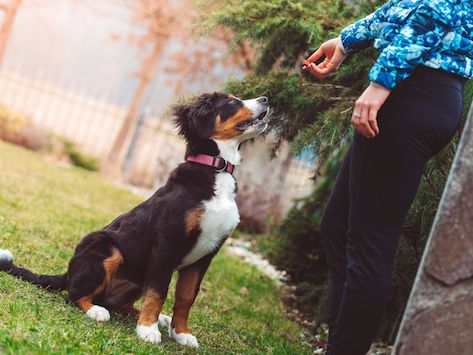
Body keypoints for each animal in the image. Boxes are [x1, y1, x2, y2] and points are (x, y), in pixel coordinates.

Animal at [0, 93, 270, 350]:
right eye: (232, 102)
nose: (266, 99)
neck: (216, 170)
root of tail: (68, 273)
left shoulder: (206, 255)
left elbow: (185, 297)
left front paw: (181, 333)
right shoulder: (167, 244)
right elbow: (159, 291)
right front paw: (147, 330)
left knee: (120, 304)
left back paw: (159, 319)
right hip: (107, 249)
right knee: (75, 295)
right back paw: (99, 311)